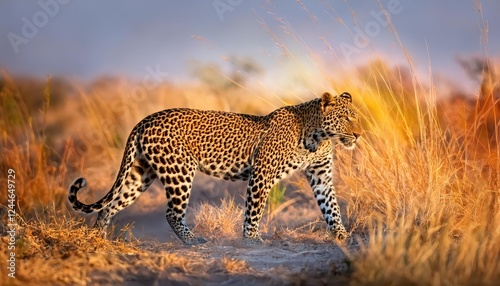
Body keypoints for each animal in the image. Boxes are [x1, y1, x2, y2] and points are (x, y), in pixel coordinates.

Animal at [68, 91, 362, 244]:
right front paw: (251, 240)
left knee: (108, 206)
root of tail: (144, 121)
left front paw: (342, 235)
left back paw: (98, 240)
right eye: (346, 118)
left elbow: (331, 207)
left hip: (140, 174)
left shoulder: (321, 175)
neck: (318, 137)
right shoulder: (262, 173)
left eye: (356, 118)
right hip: (179, 171)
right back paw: (193, 240)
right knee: (171, 213)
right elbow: (254, 210)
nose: (359, 134)